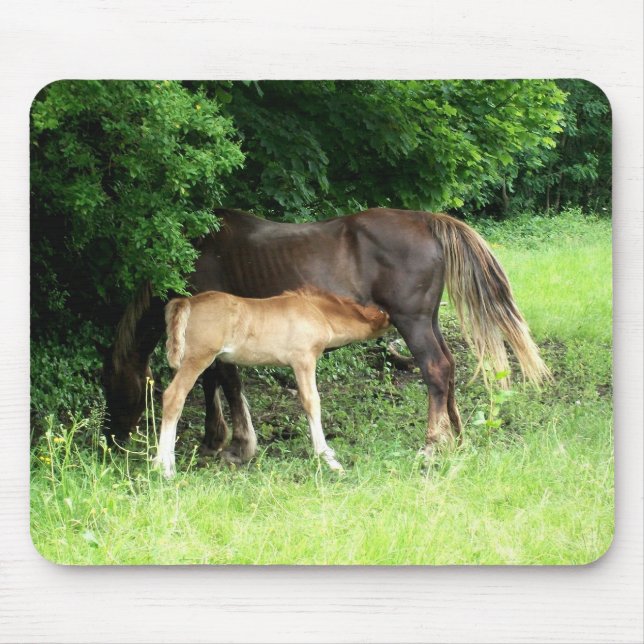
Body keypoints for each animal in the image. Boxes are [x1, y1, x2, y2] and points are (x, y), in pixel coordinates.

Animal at [153, 287, 391, 476]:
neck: (317, 312)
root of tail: (187, 302)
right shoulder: (303, 360)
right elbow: (311, 402)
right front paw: (328, 458)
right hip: (198, 358)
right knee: (174, 396)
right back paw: (165, 468)